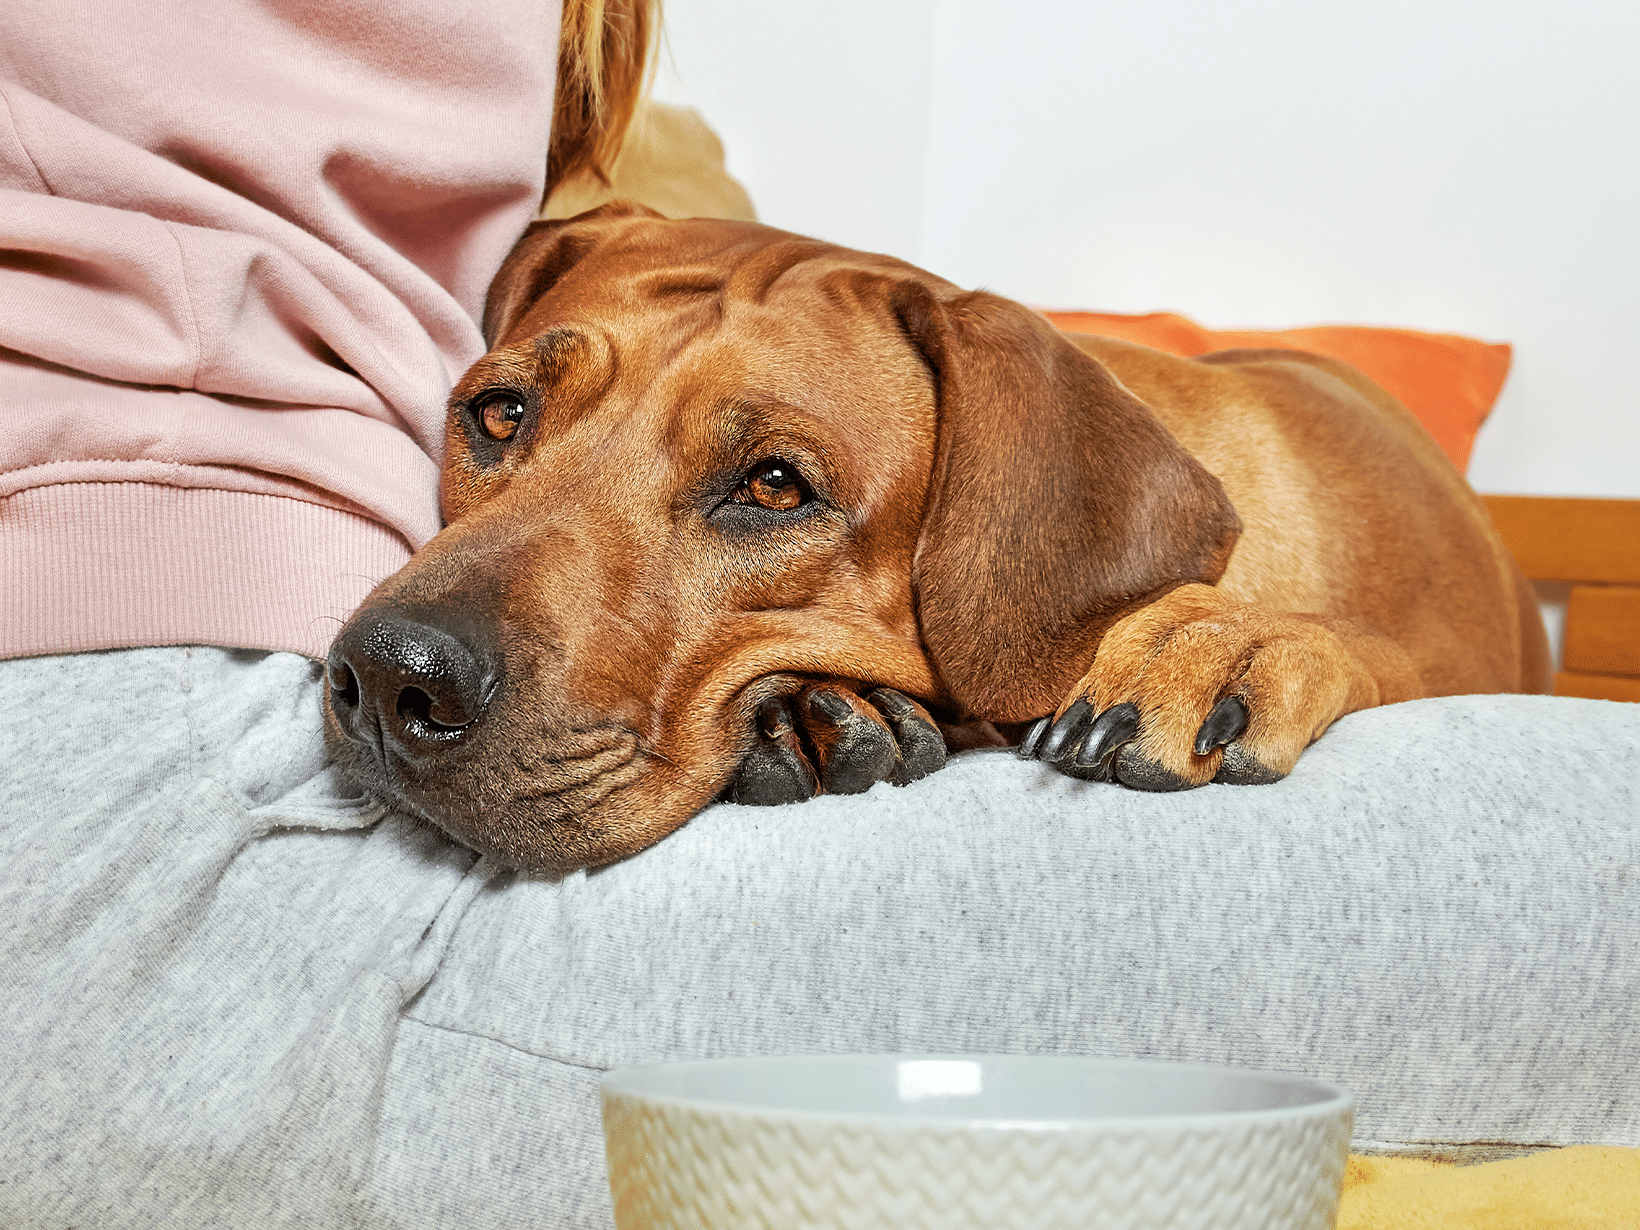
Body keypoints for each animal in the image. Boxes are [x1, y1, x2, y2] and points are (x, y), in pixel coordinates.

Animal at [323, 202, 1548, 872]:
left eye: (774, 487)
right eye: (499, 414)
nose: (390, 678)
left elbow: (1373, 651)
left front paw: (1221, 645)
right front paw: (826, 711)